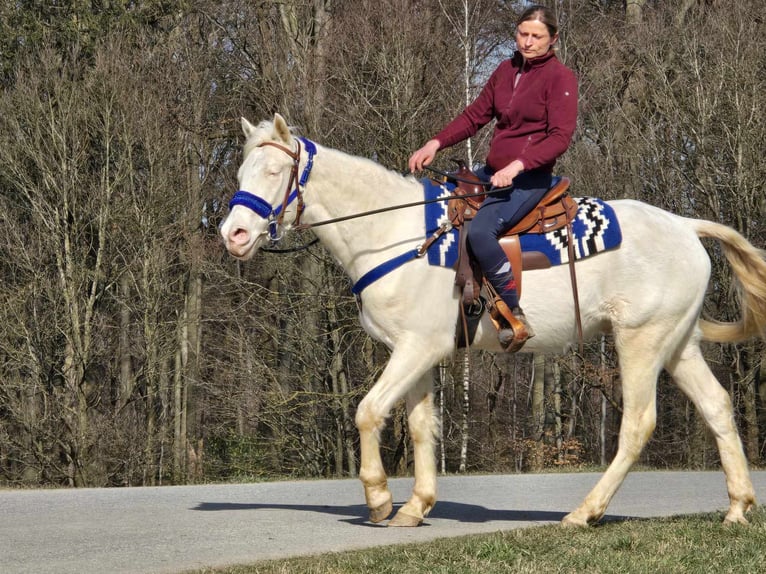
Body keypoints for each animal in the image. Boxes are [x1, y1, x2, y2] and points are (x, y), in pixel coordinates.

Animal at [220, 115, 766, 528]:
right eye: (242, 171)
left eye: (274, 170)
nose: (234, 234)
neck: (392, 232)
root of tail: (684, 225)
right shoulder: (417, 351)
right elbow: (421, 426)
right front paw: (415, 506)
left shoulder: (417, 347)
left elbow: (369, 411)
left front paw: (378, 499)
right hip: (678, 344)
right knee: (718, 407)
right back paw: (737, 508)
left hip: (641, 341)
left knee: (637, 423)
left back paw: (584, 512)